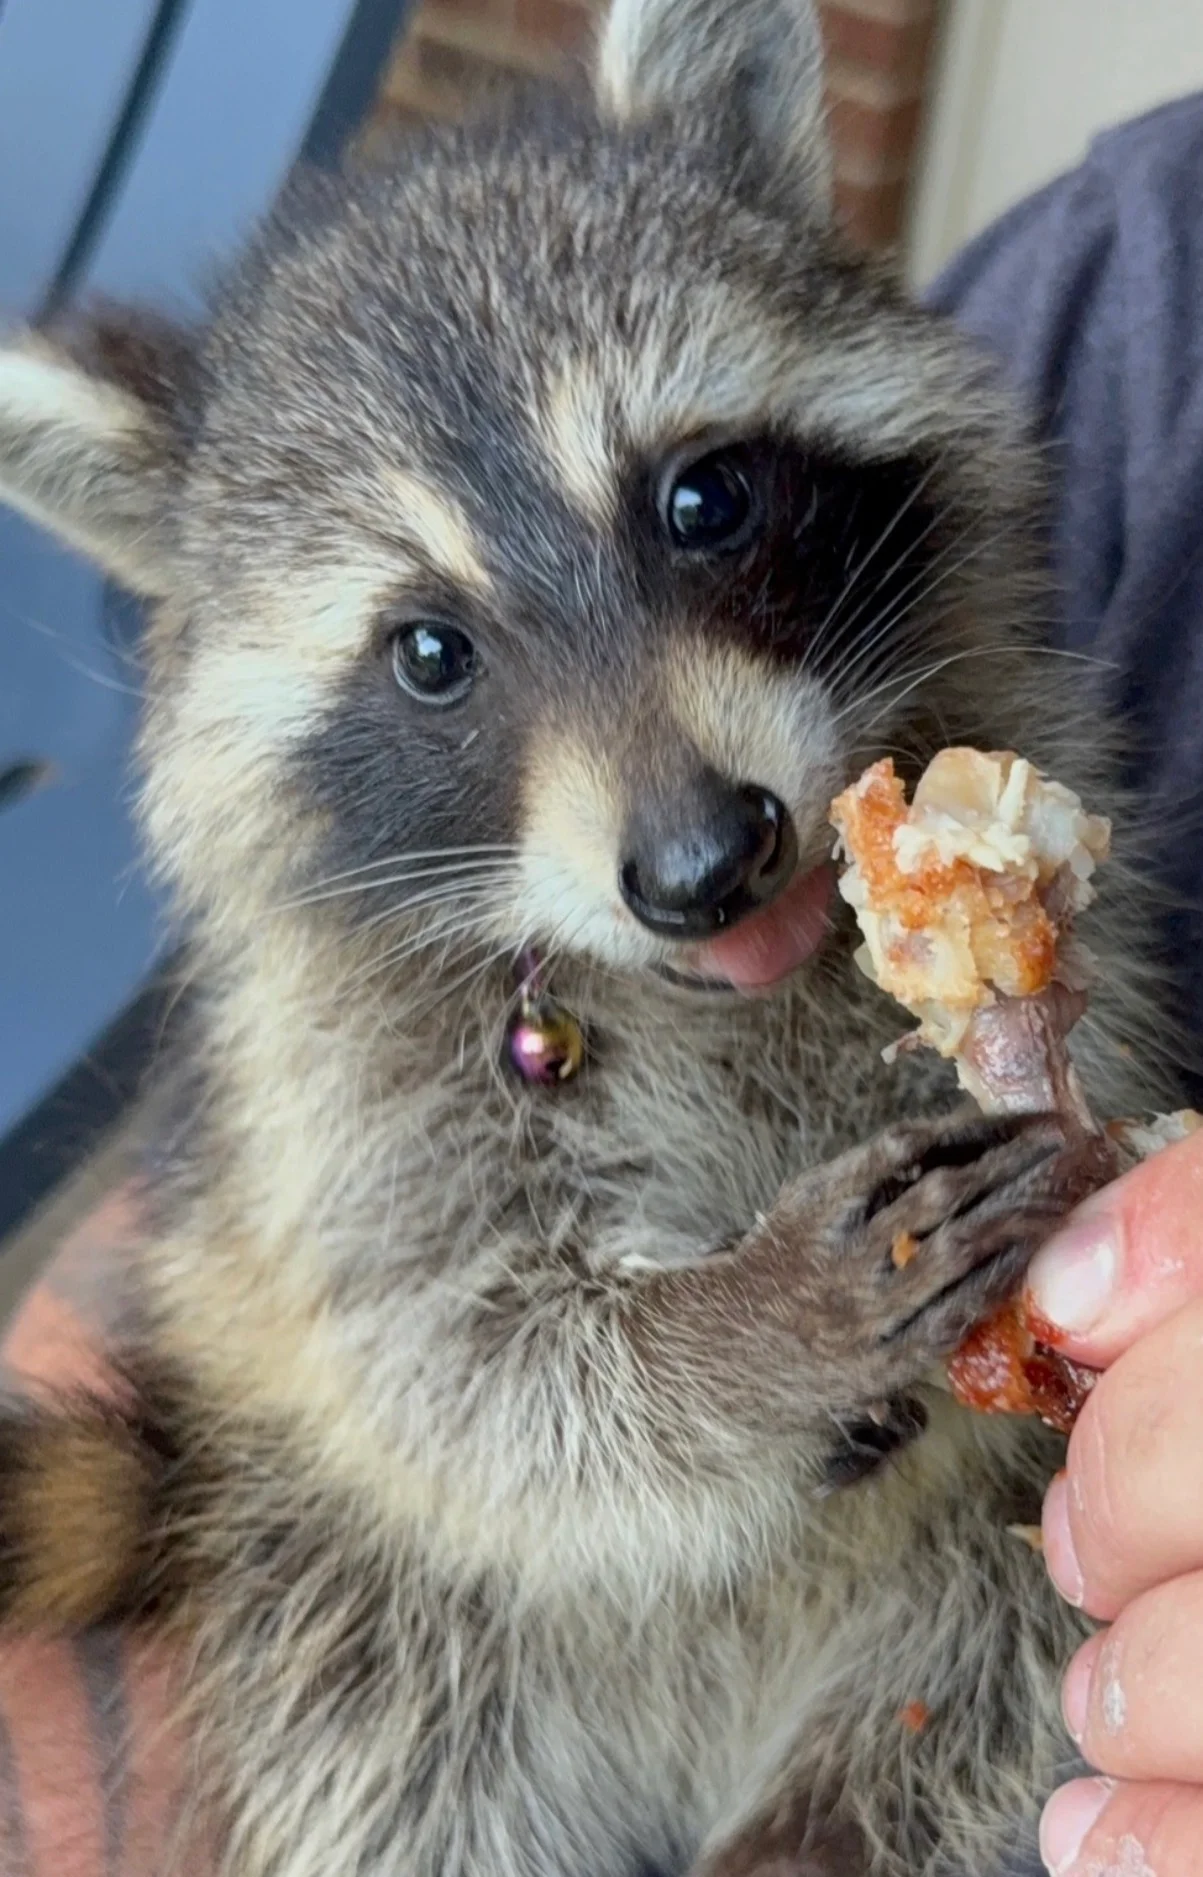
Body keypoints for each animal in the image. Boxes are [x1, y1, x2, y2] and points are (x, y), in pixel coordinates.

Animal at [0, 2, 1175, 1873]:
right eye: (427, 652)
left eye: (700, 502)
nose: (704, 862)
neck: (694, 981)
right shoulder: (326, 1099)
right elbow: (468, 1371)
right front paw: (745, 1333)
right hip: (354, 1609)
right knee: (400, 1749)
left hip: (941, 1614)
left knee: (953, 1699)